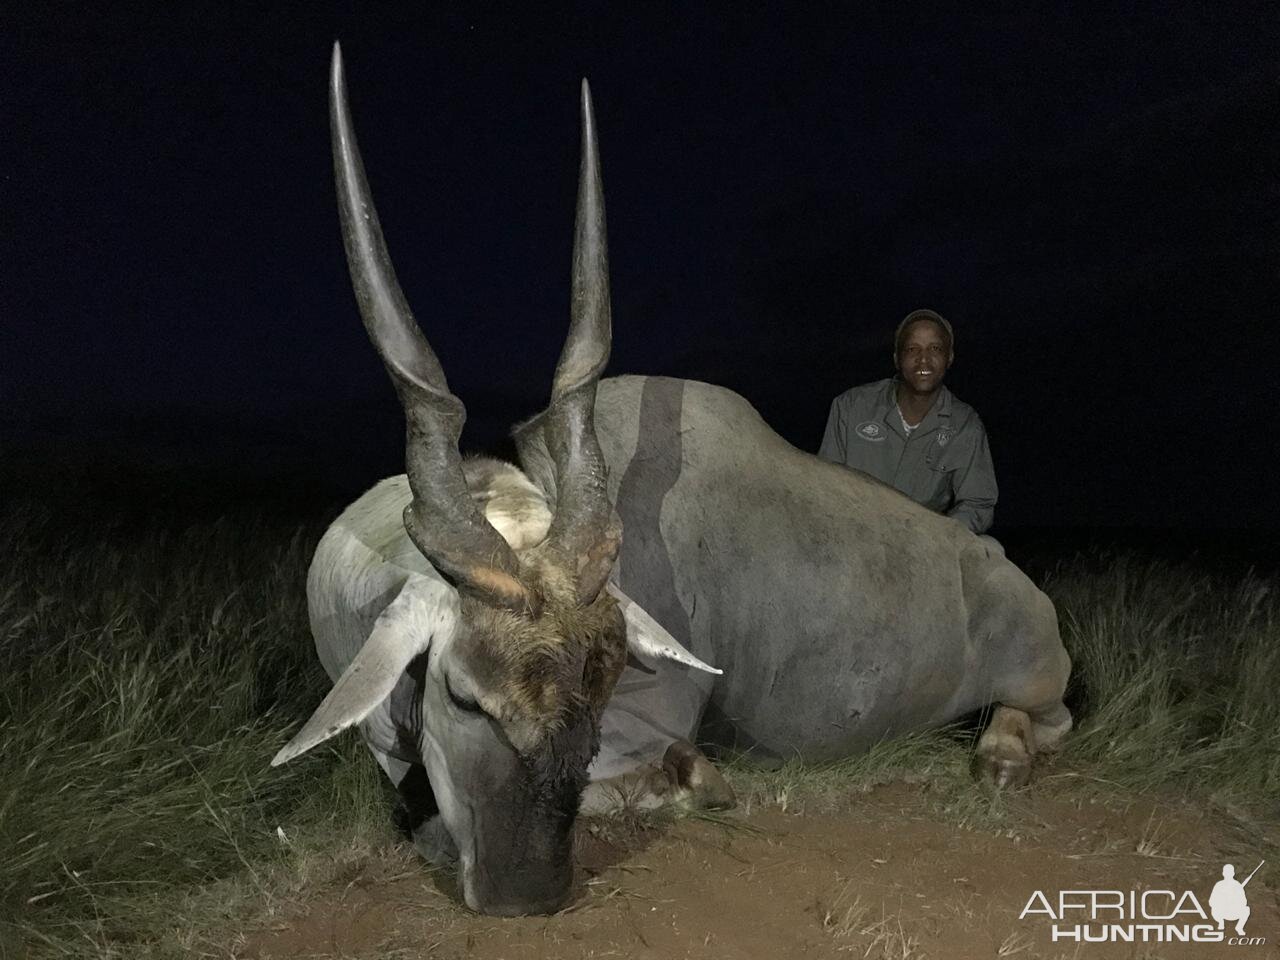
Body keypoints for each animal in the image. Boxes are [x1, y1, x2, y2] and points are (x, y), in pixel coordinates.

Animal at [272, 45, 1070, 916]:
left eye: (603, 688)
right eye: (463, 695)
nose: (528, 897)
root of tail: (1003, 569)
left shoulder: (643, 729)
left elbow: (661, 777)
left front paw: (700, 780)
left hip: (1038, 678)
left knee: (1048, 719)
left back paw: (1000, 757)